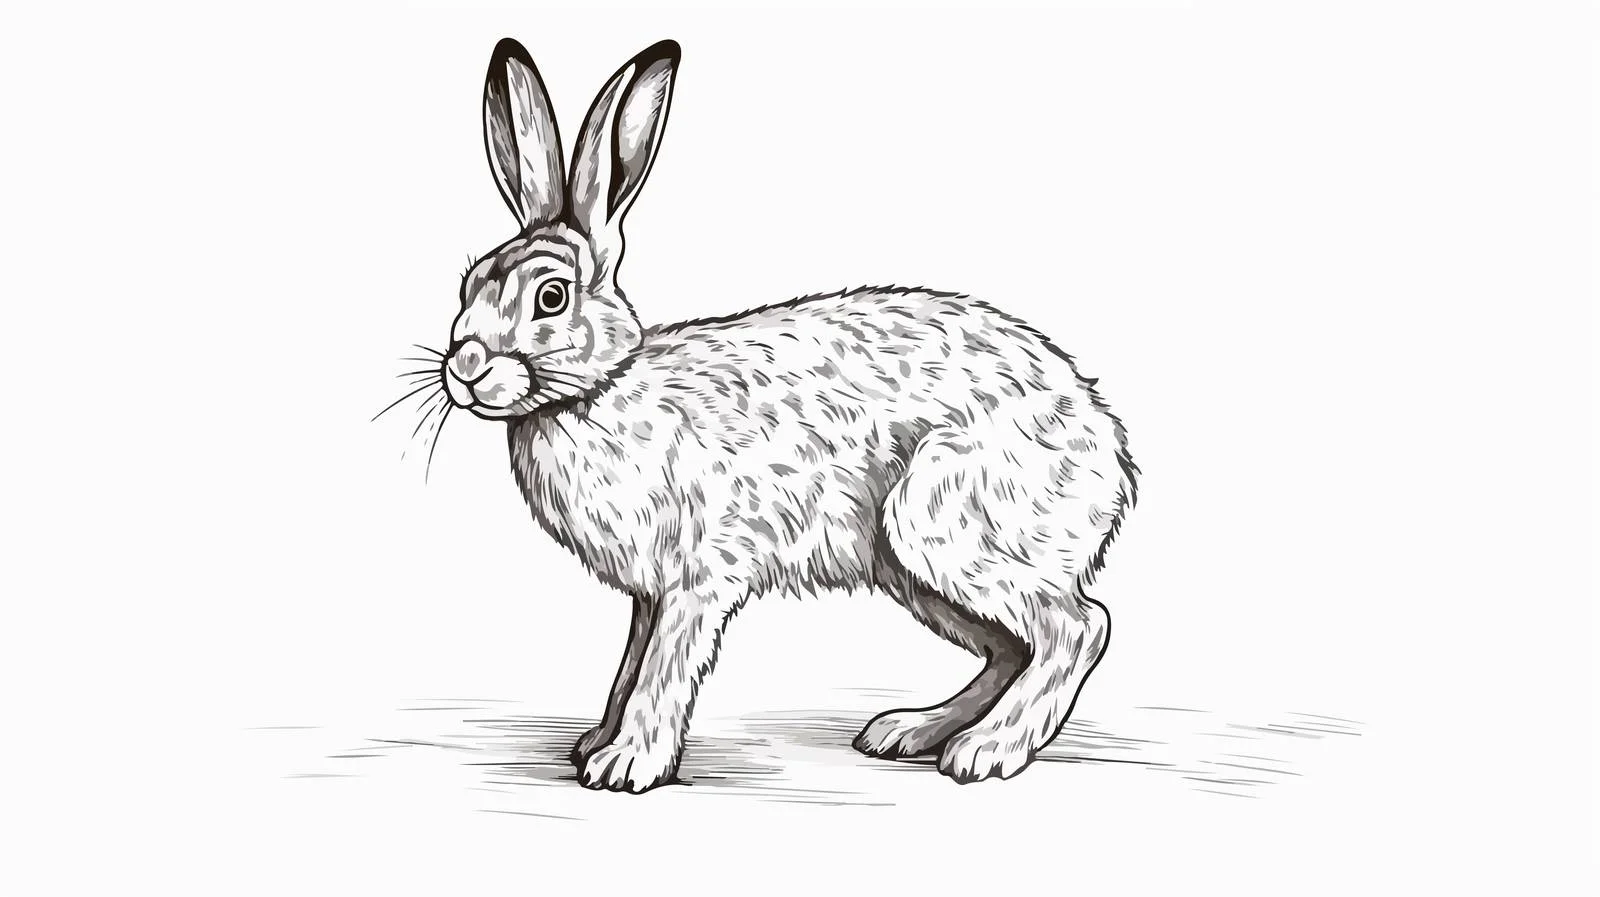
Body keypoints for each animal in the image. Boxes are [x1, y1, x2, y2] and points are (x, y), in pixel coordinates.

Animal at [436, 38, 1138, 793]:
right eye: (467, 285)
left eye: (551, 297)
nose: (464, 366)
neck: (602, 388)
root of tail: (1108, 454)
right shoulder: (649, 595)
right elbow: (628, 666)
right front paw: (593, 742)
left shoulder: (697, 581)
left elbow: (660, 673)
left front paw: (627, 764)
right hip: (908, 567)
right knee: (1012, 647)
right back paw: (911, 730)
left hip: (944, 523)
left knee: (1078, 627)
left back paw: (986, 750)